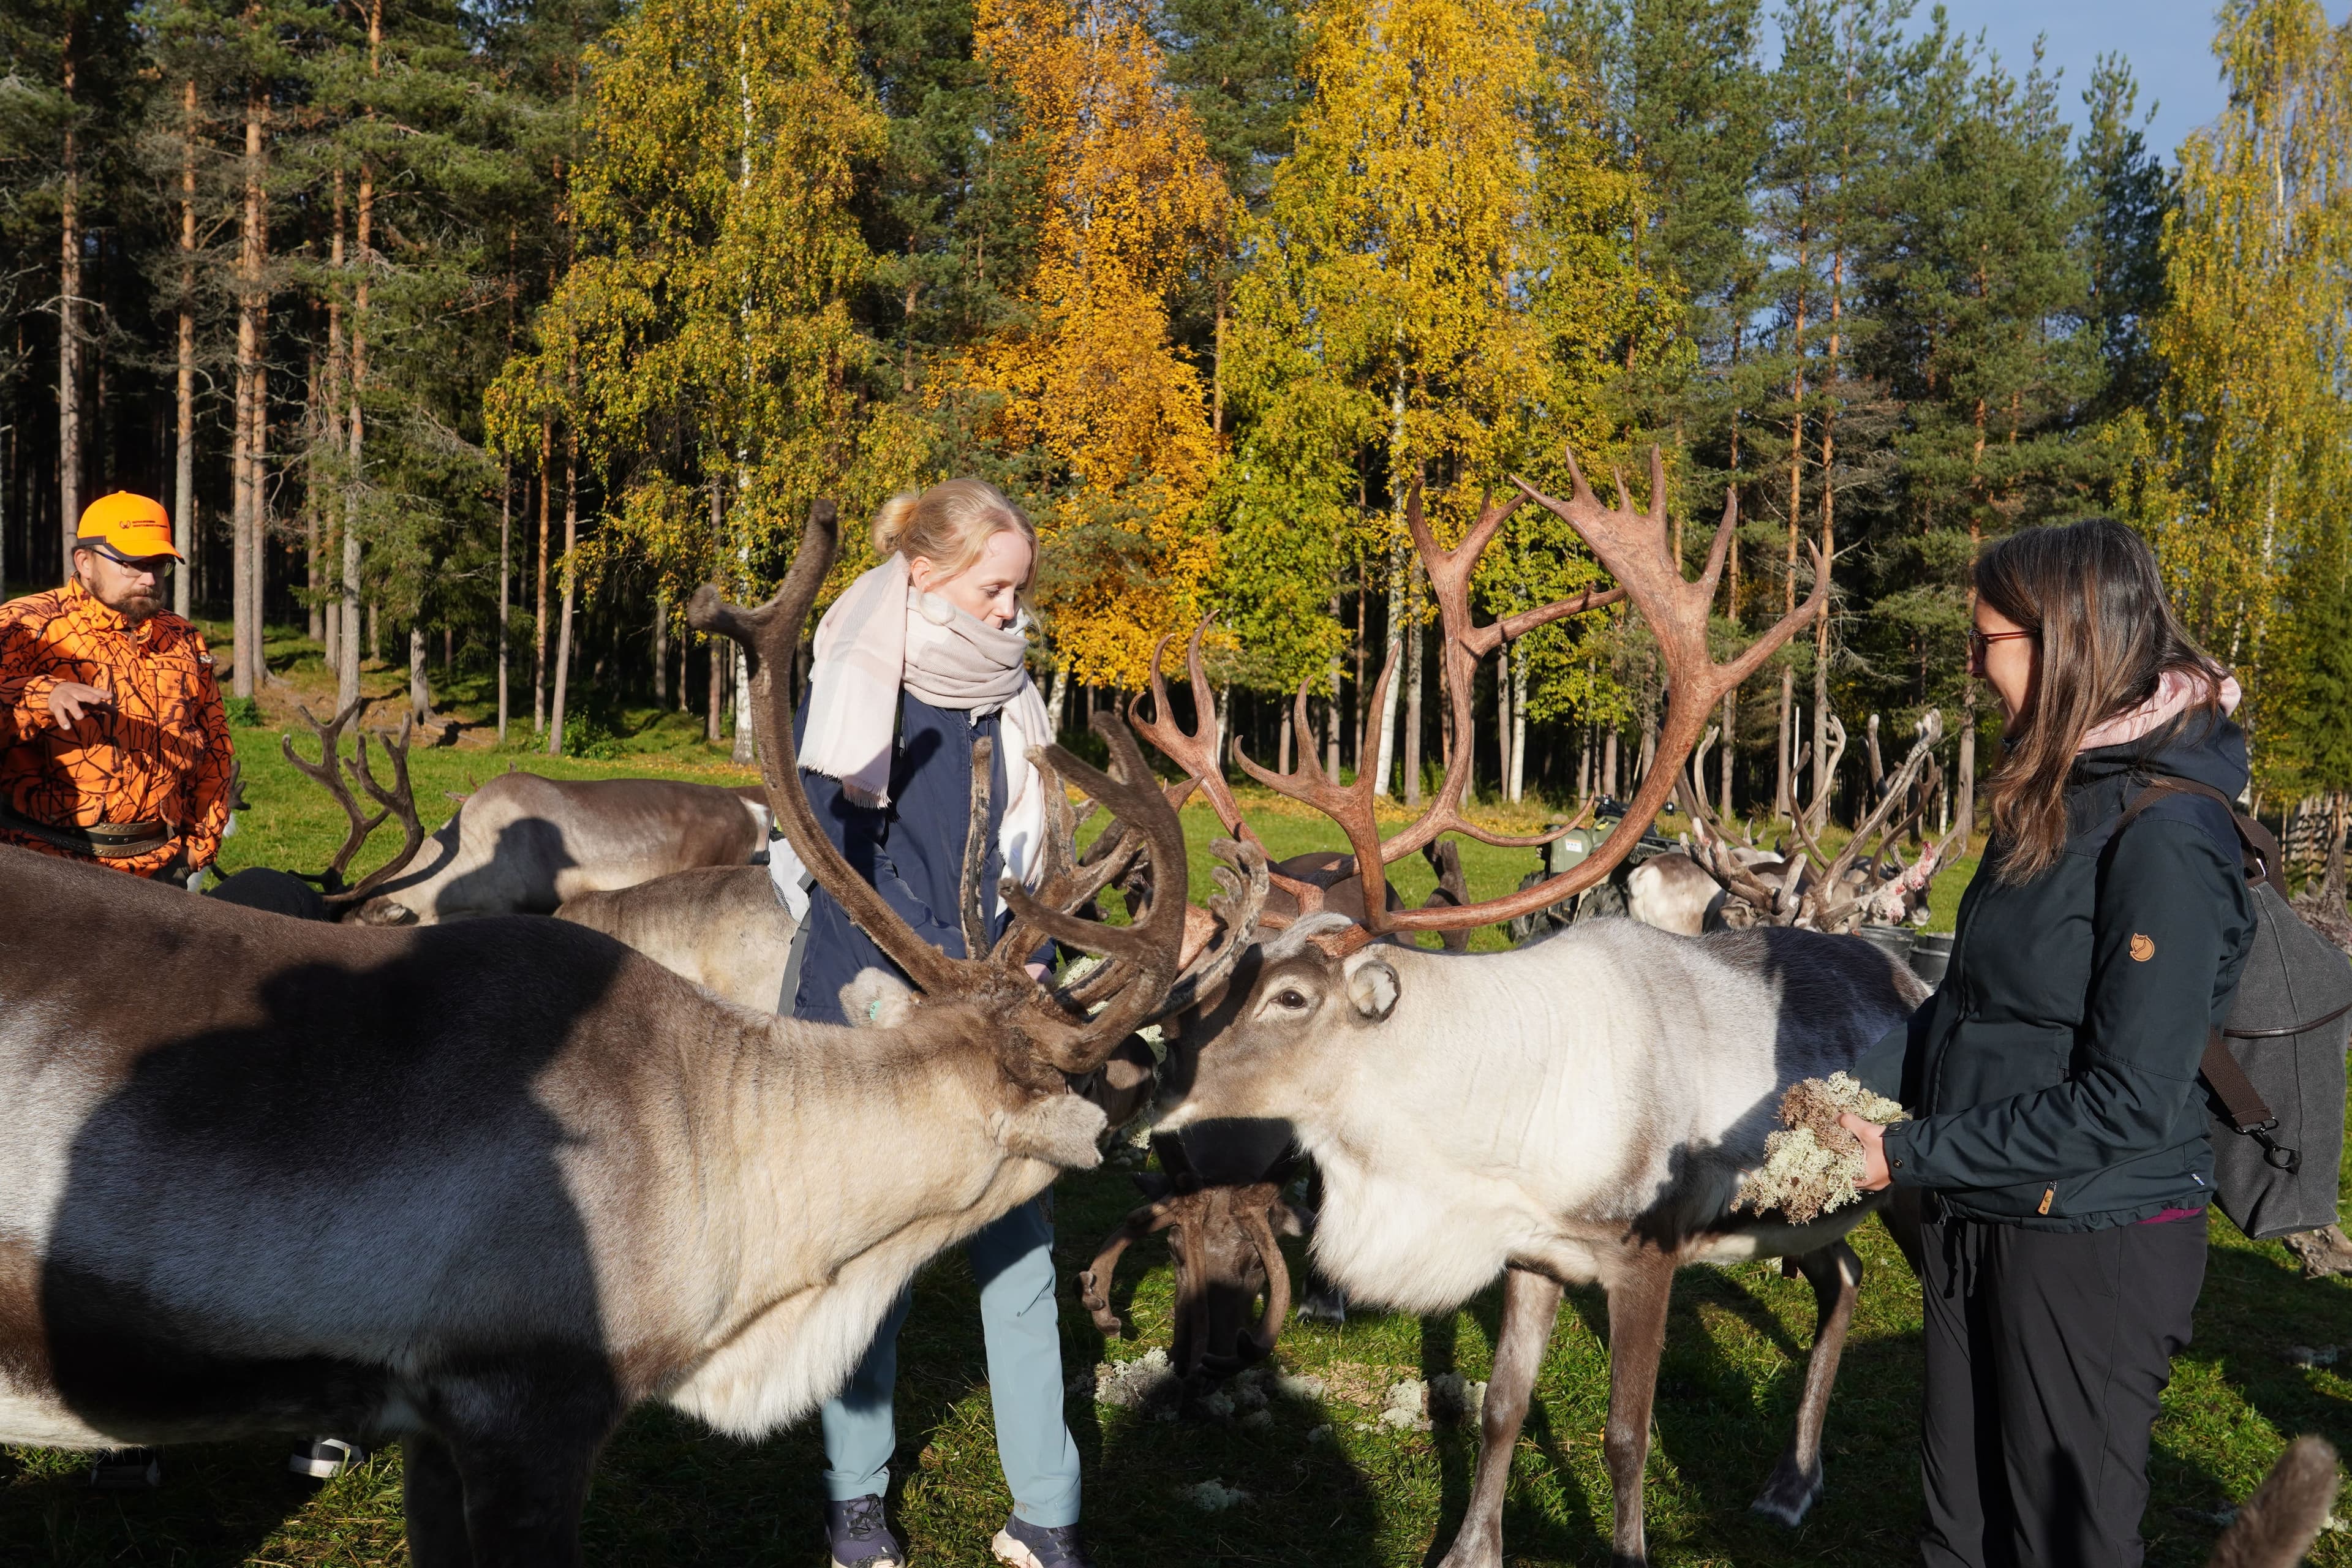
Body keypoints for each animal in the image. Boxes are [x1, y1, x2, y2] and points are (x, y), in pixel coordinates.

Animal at [1106, 453, 1933, 1568]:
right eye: (1216, 973)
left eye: (1291, 994)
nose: (1155, 1089)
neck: (1475, 1147)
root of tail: (1905, 967)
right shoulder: (1532, 1252)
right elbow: (1501, 1406)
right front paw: (1468, 1549)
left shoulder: (1647, 1253)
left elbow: (1626, 1436)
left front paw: (1625, 1550)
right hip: (1808, 1211)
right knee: (1840, 1275)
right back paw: (1790, 1483)